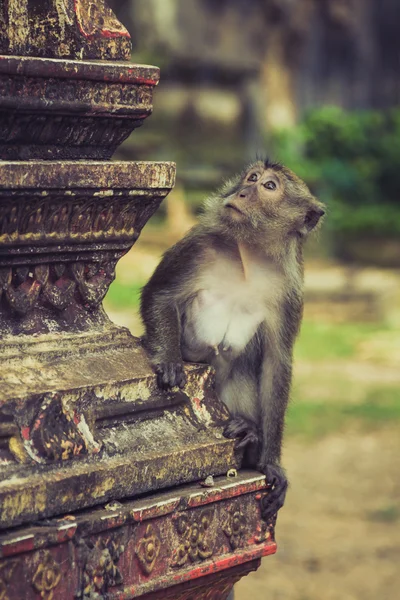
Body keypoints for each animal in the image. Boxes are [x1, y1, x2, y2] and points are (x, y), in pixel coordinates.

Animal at [141, 159, 324, 520]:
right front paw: (169, 359)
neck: (249, 252)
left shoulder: (291, 291)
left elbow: (276, 362)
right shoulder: (197, 247)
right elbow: (160, 297)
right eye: (251, 177)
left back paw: (250, 436)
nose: (242, 191)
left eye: (269, 186)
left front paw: (271, 463)